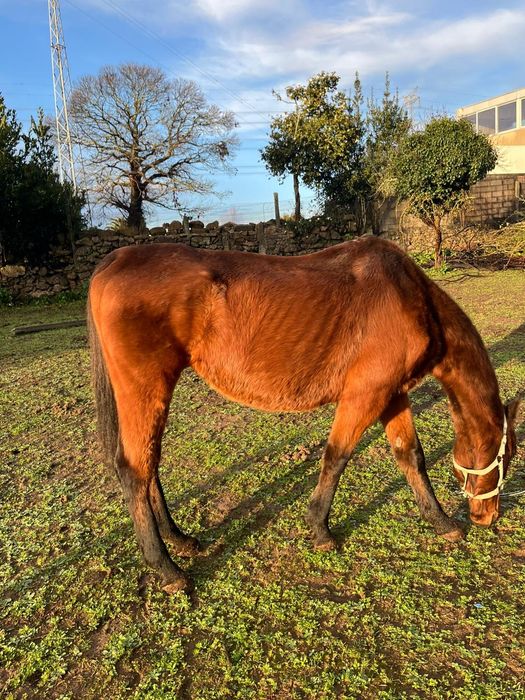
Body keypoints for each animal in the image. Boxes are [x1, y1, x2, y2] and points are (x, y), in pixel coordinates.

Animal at [87, 237, 520, 593]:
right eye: (509, 456)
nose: (488, 517)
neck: (410, 299)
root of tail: (113, 260)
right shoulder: (365, 395)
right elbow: (336, 457)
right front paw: (320, 528)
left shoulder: (391, 395)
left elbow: (410, 457)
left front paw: (442, 523)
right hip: (146, 388)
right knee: (135, 469)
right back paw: (167, 568)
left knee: (149, 465)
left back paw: (179, 539)